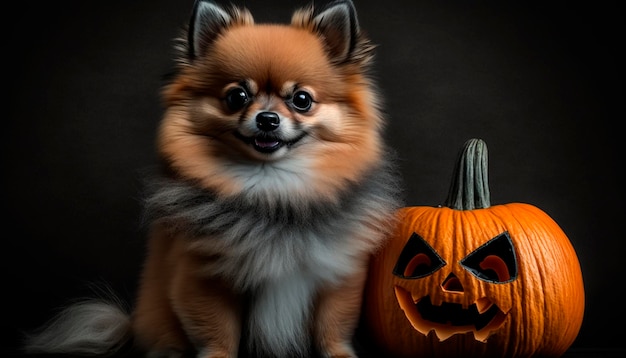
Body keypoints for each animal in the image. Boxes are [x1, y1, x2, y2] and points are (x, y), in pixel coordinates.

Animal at [24, 0, 400, 358]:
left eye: (302, 100)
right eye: (237, 96)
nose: (267, 119)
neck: (273, 188)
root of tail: (133, 323)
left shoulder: (337, 274)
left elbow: (332, 327)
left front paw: (340, 354)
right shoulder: (204, 276)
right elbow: (218, 332)